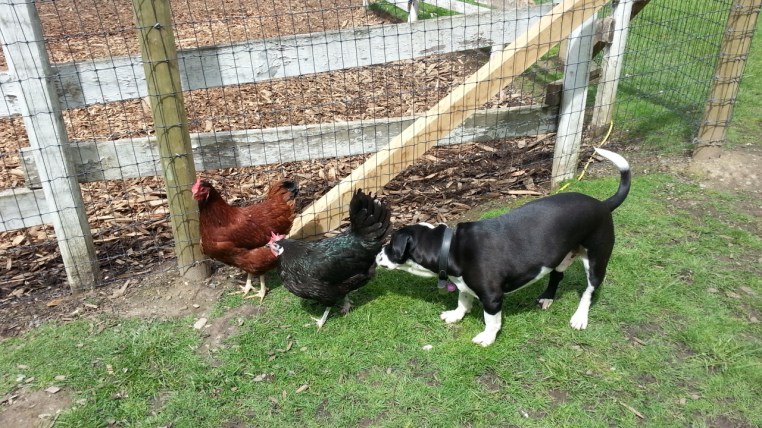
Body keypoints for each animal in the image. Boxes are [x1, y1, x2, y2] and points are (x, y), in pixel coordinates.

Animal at [376, 148, 630, 346]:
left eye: (390, 245)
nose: (377, 253)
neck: (450, 247)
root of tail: (602, 205)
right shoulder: (465, 284)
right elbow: (463, 299)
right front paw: (456, 315)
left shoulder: (492, 298)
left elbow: (492, 320)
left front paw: (487, 338)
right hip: (562, 256)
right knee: (556, 276)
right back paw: (547, 297)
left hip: (597, 259)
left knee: (589, 291)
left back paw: (580, 317)